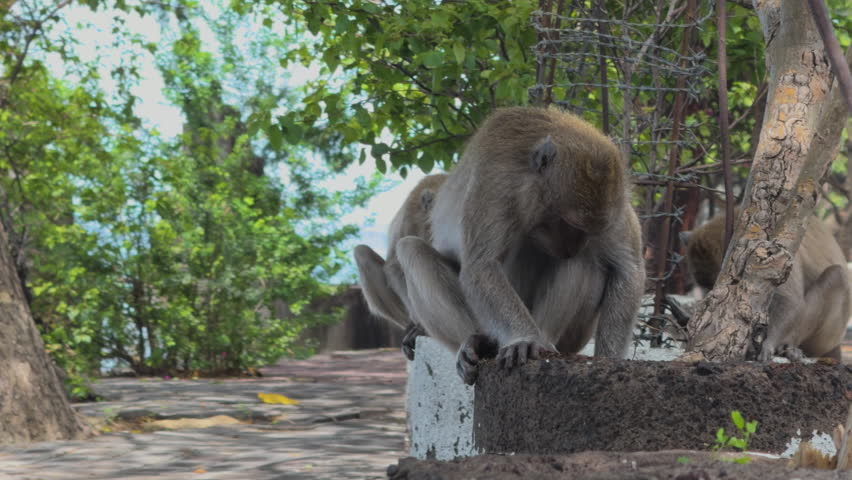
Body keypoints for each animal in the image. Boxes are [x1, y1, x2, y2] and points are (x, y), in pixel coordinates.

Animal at [393, 106, 646, 385]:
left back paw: (545, 338)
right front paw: (525, 338)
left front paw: (609, 359)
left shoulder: (616, 200)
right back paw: (477, 341)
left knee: (586, 262)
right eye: (568, 223)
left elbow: (629, 270)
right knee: (411, 249)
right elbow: (482, 265)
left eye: (589, 231)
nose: (572, 247)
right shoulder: (496, 182)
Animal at [682, 209, 850, 361]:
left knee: (837, 276)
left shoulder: (779, 251)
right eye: (708, 287)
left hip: (824, 339)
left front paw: (767, 344)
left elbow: (789, 301)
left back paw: (790, 347)